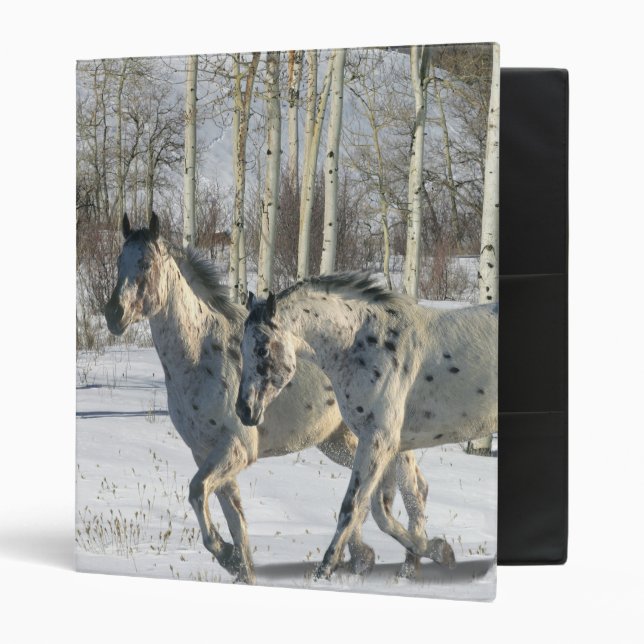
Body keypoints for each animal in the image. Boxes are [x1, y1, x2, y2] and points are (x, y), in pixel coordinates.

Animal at [104, 213, 431, 583]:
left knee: (413, 488)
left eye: (145, 263)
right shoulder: (206, 452)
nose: (113, 314)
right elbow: (235, 522)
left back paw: (411, 565)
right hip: (342, 441)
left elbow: (197, 493)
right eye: (119, 260)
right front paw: (239, 566)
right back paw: (367, 557)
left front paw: (226, 556)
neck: (201, 357)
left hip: (385, 439)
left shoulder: (237, 448)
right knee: (382, 489)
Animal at [236, 272, 498, 580]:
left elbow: (353, 506)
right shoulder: (389, 444)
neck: (363, 345)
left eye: (262, 349)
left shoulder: (378, 440)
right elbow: (384, 508)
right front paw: (436, 552)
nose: (244, 410)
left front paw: (324, 570)